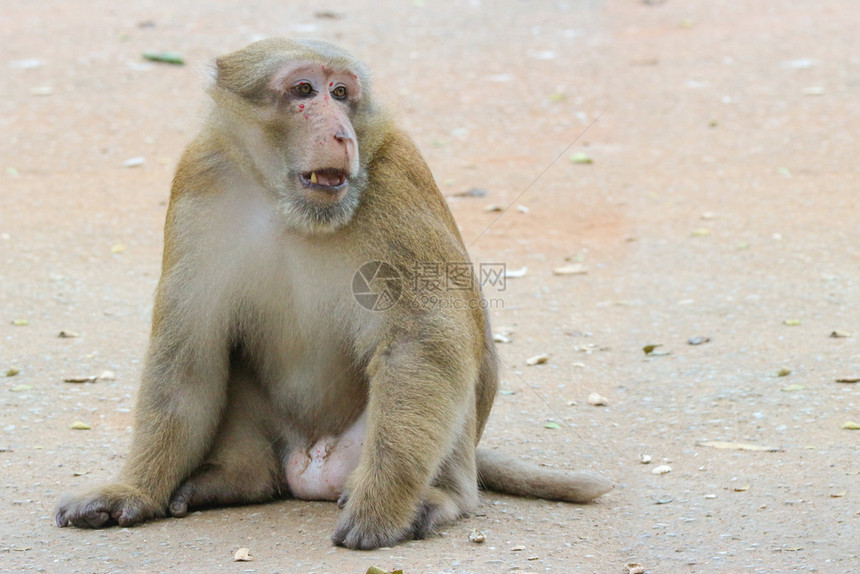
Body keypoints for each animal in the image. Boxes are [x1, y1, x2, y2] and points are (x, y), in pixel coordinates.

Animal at [55, 38, 612, 552]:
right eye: (304, 90)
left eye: (341, 94)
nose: (342, 133)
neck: (291, 207)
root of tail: (312, 466)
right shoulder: (200, 178)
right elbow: (188, 353)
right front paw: (133, 490)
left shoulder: (398, 177)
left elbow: (425, 337)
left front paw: (382, 507)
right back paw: (238, 478)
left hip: (364, 450)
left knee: (449, 354)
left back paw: (439, 497)